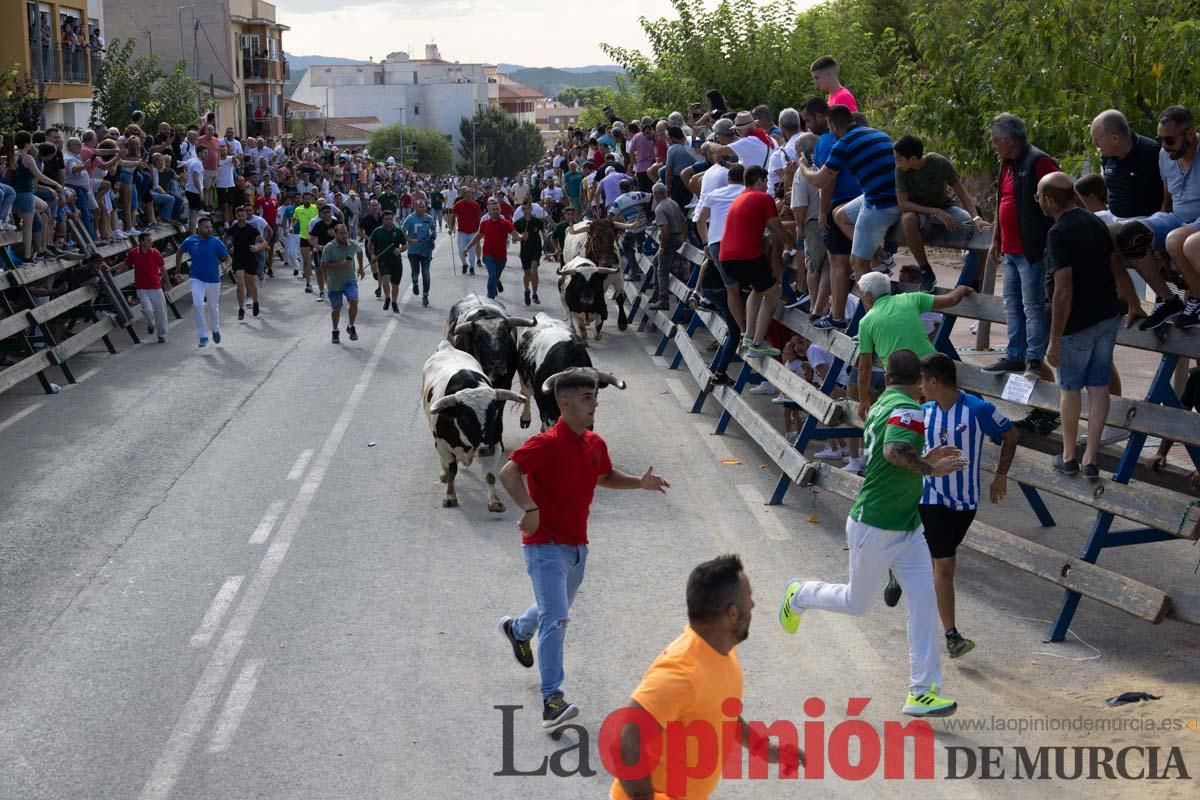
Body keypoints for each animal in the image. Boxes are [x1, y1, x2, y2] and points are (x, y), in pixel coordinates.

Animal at [424, 340, 528, 510]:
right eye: (466, 419)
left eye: (494, 414)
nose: (485, 450)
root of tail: (447, 347)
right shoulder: (442, 444)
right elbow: (451, 471)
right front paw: (450, 496)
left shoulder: (495, 445)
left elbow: (490, 476)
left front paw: (494, 502)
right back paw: (444, 474)